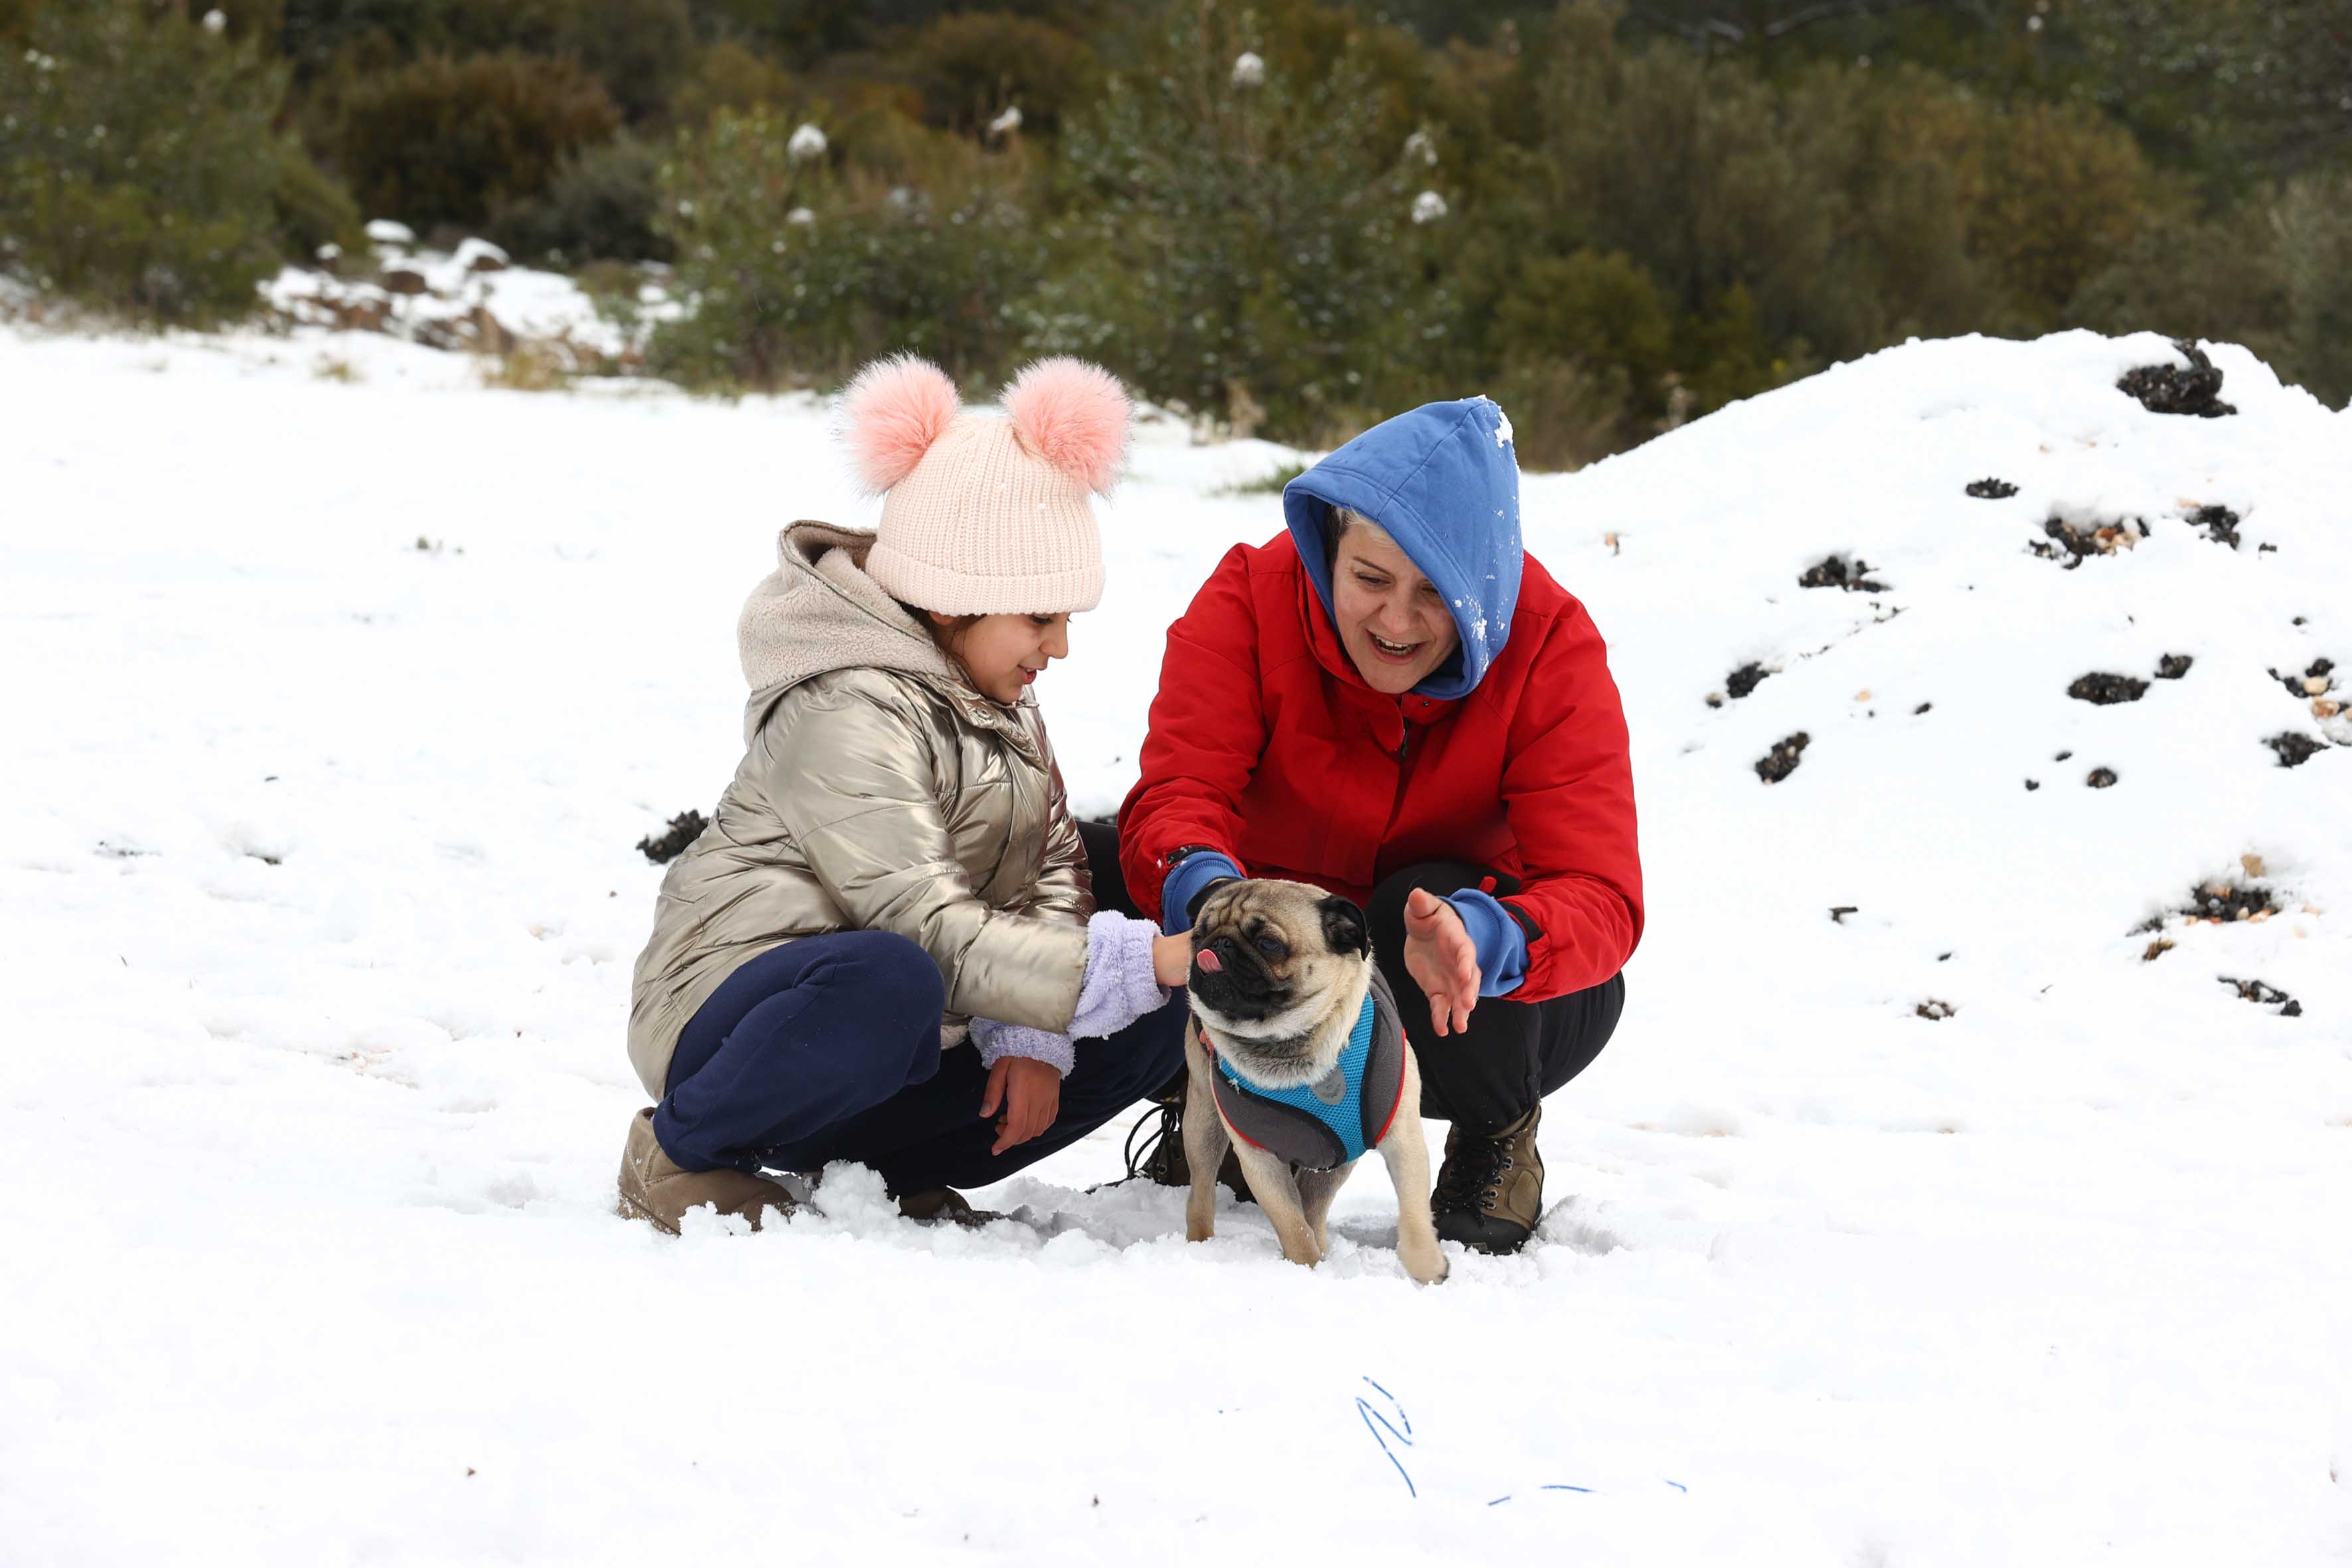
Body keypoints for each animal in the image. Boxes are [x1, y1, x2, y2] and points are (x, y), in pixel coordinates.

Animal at [1181, 878, 1448, 1284]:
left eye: (1269, 943)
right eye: (1198, 936)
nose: (1217, 945)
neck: (1287, 1047)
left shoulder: (1402, 1140)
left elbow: (1415, 1215)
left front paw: (1428, 1269)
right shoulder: (1260, 1162)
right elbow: (1293, 1228)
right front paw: (1307, 1270)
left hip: (1337, 1158)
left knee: (1315, 1208)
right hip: (1203, 1125)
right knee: (1202, 1194)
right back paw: (1199, 1246)